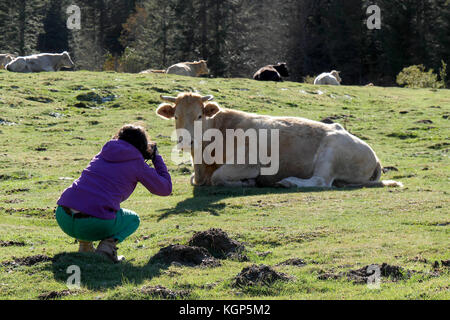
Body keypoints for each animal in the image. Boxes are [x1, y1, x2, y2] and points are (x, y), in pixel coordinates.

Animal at [156, 92, 402, 189]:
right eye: (176, 116)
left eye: (199, 116)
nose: (185, 141)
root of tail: (375, 158)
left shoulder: (248, 164)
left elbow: (218, 178)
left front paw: (248, 183)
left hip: (331, 150)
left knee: (321, 181)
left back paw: (288, 182)